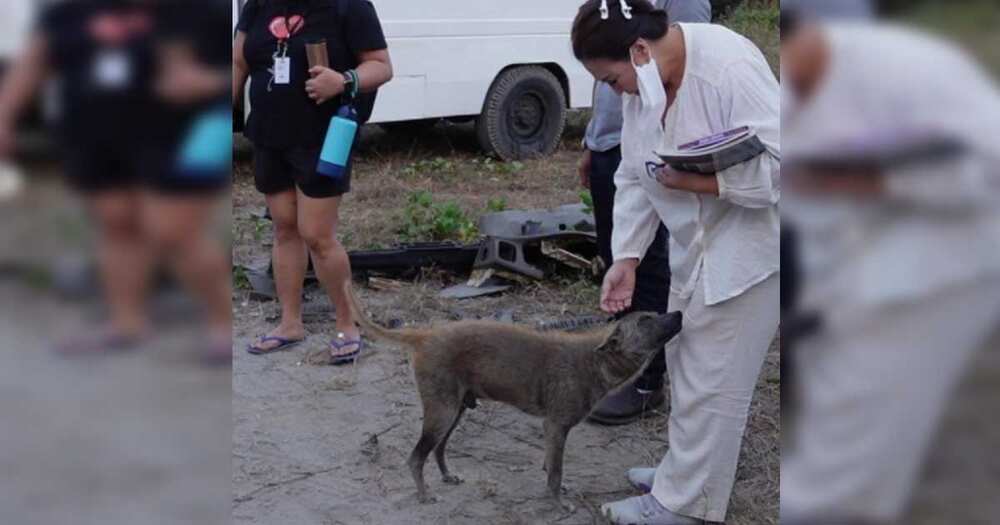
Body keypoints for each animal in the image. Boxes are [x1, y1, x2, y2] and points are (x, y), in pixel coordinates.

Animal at [348, 286, 684, 508]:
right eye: (644, 321)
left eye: (653, 315)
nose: (680, 312)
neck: (595, 360)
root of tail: (425, 335)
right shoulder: (556, 426)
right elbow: (556, 472)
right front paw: (558, 504)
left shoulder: (553, 430)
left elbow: (550, 465)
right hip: (442, 412)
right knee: (415, 457)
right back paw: (424, 494)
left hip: (455, 410)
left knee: (438, 450)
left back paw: (447, 476)